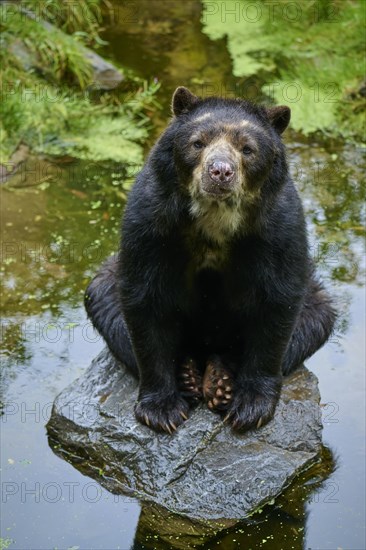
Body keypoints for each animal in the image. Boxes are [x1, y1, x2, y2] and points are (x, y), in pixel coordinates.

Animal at [84, 87, 336, 436]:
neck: (214, 217)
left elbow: (277, 303)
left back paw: (219, 379)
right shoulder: (151, 222)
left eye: (247, 149)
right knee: (108, 307)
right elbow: (144, 300)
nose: (220, 171)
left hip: (315, 301)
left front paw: (250, 408)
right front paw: (161, 410)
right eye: (198, 143)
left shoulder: (277, 229)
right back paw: (190, 377)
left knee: (313, 321)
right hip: (106, 282)